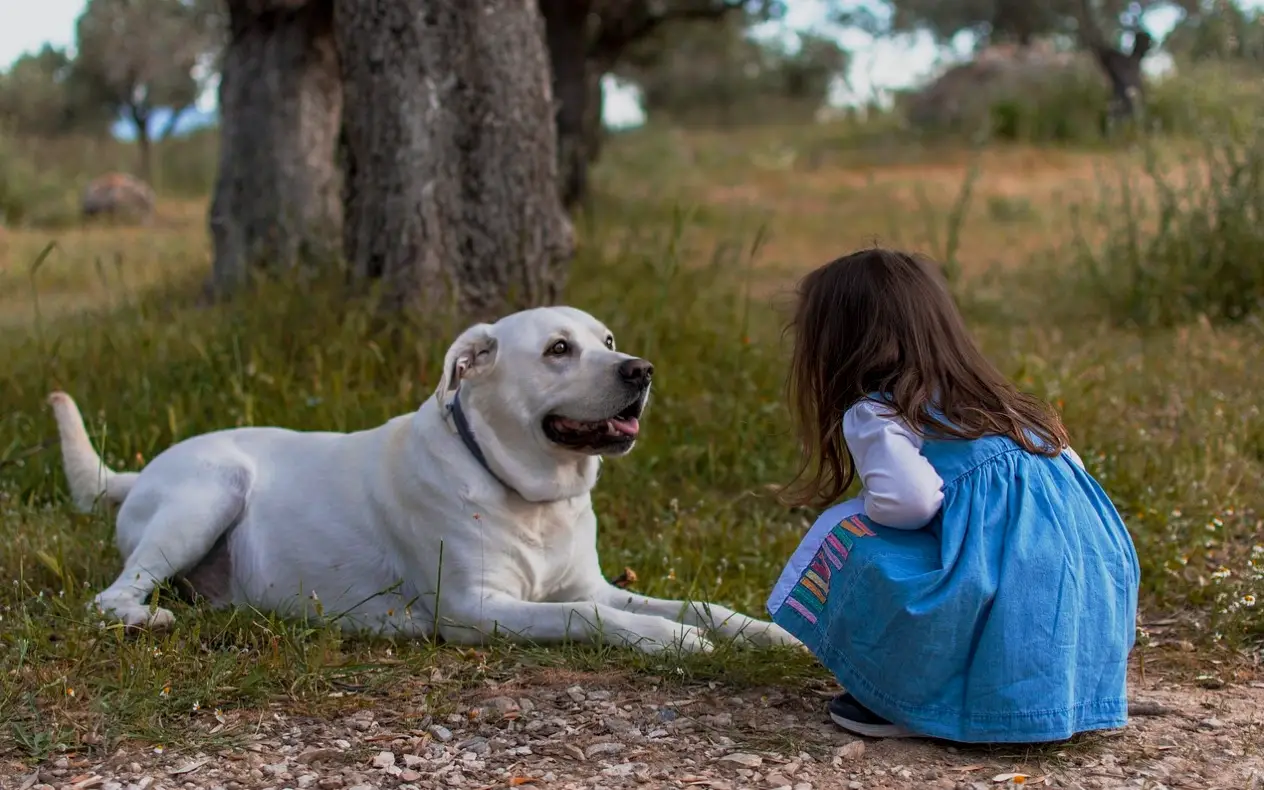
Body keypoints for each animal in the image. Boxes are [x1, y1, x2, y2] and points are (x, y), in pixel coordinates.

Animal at [51, 304, 798, 652]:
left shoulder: (591, 583)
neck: (529, 495)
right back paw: (146, 619)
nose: (640, 371)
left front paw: (764, 633)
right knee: (110, 597)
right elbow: (586, 617)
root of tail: (138, 472)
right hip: (210, 491)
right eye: (558, 349)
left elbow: (697, 604)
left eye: (607, 341)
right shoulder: (477, 609)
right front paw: (669, 641)